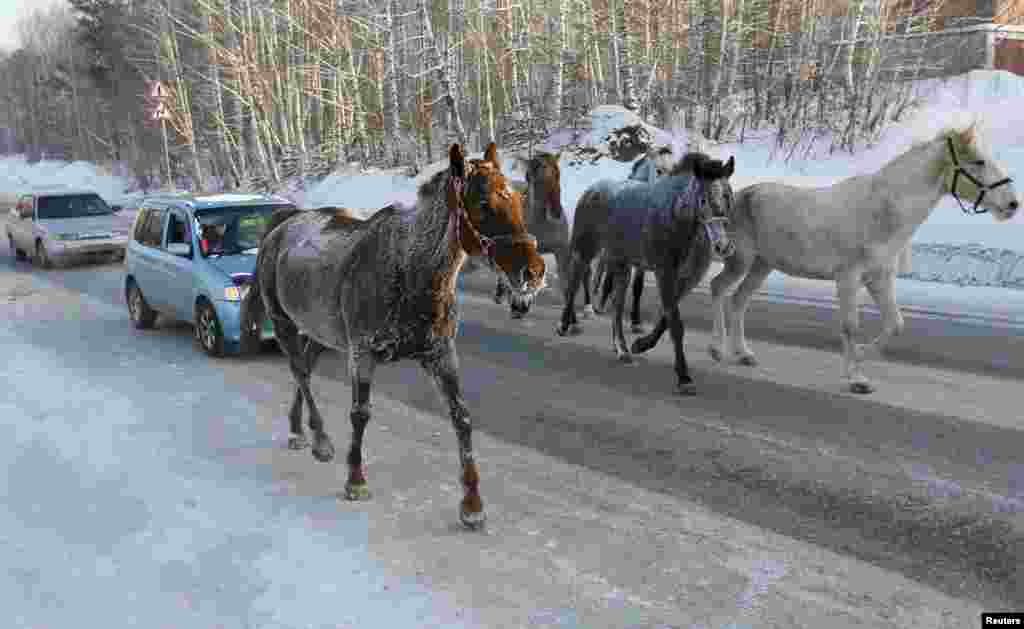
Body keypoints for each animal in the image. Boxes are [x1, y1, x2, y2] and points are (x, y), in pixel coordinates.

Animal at [241, 143, 544, 528]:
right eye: (484, 204)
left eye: (518, 199)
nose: (534, 272)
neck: (408, 272)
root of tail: (280, 228)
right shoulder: (363, 354)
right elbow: (360, 414)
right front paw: (355, 480)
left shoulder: (441, 355)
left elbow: (461, 418)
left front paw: (472, 504)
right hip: (284, 324)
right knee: (299, 372)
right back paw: (320, 440)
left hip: (322, 335)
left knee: (304, 370)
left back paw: (298, 430)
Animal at [708, 124, 1019, 393]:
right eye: (979, 162)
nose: (1012, 204)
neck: (883, 211)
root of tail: (737, 197)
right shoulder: (848, 278)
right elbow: (851, 326)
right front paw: (856, 379)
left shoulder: (879, 279)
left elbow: (895, 324)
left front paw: (858, 363)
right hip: (741, 260)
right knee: (719, 288)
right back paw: (717, 349)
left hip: (762, 266)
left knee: (739, 300)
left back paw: (743, 354)